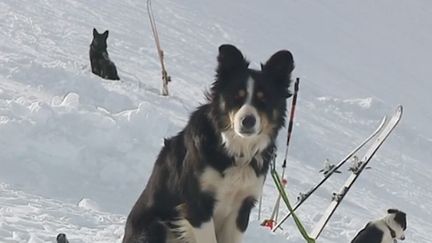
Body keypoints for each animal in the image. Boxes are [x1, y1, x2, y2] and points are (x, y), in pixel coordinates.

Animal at [123, 44, 296, 243]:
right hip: (155, 226)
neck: (235, 151)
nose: (248, 121)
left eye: (263, 99)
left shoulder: (242, 207)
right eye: (236, 96)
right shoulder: (197, 204)